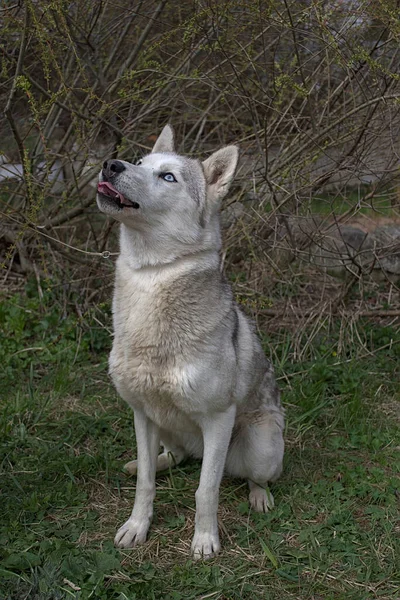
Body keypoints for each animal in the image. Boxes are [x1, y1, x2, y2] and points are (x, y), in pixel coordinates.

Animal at [96, 124, 284, 560]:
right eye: (139, 162)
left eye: (168, 177)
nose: (112, 164)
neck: (152, 275)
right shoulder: (142, 413)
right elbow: (146, 484)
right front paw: (136, 528)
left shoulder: (218, 419)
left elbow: (205, 489)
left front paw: (204, 541)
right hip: (166, 430)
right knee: (175, 456)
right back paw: (145, 462)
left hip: (261, 446)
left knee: (250, 476)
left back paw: (260, 497)